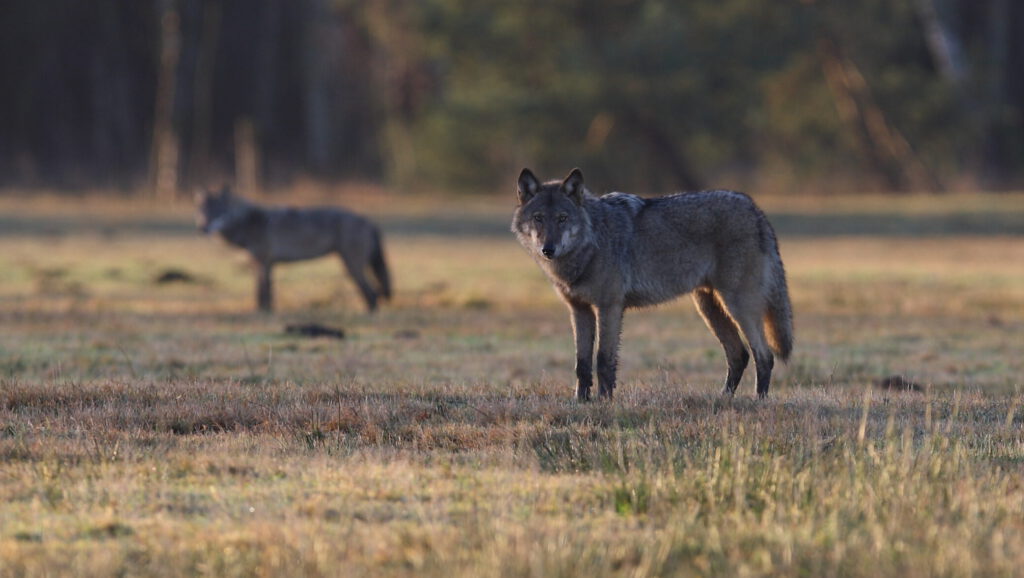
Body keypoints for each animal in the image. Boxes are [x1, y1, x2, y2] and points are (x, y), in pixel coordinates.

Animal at [193, 185, 389, 311]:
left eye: (218, 211)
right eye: (202, 211)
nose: (202, 228)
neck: (247, 222)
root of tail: (369, 221)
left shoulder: (263, 262)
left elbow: (263, 292)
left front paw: (264, 312)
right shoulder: (264, 264)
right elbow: (264, 291)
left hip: (352, 266)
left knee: (372, 294)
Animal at [512, 169, 790, 399]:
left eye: (562, 218)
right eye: (538, 218)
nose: (548, 249)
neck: (591, 244)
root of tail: (755, 209)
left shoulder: (609, 307)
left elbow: (603, 360)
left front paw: (604, 401)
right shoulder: (580, 310)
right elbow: (582, 364)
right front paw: (581, 402)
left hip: (738, 306)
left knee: (764, 355)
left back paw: (759, 401)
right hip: (709, 308)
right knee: (738, 355)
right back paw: (723, 398)